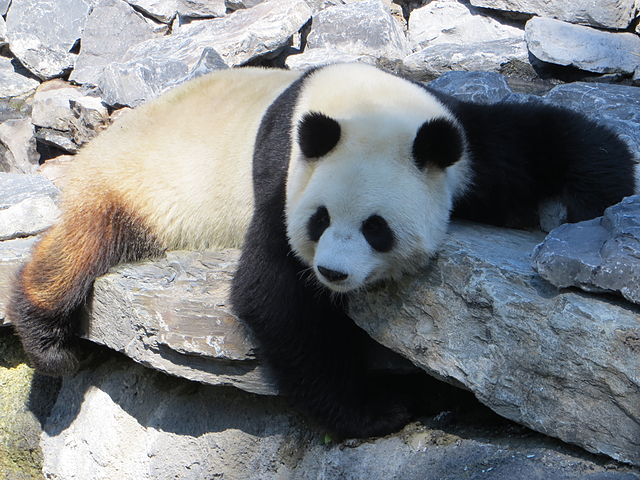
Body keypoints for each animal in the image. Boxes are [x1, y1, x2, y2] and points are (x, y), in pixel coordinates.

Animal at [6, 62, 636, 438]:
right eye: (321, 220)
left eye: (378, 228)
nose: (333, 273)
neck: (357, 102)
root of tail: (100, 143)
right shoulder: (283, 175)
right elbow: (275, 295)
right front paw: (377, 409)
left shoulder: (454, 136)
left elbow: (538, 139)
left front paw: (593, 199)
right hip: (138, 184)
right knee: (80, 247)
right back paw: (49, 339)